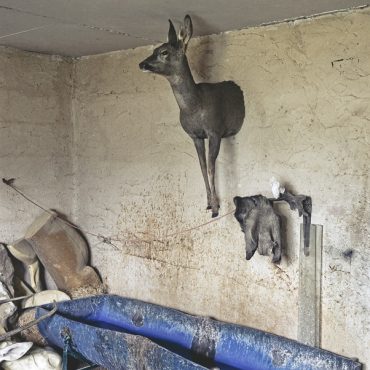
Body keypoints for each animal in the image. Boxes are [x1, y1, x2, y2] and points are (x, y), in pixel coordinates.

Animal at [138, 14, 243, 217]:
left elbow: (211, 166)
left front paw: (216, 208)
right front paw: (209, 203)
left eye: (164, 52)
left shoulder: (215, 130)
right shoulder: (194, 135)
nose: (142, 64)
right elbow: (202, 167)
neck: (194, 107)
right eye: (153, 49)